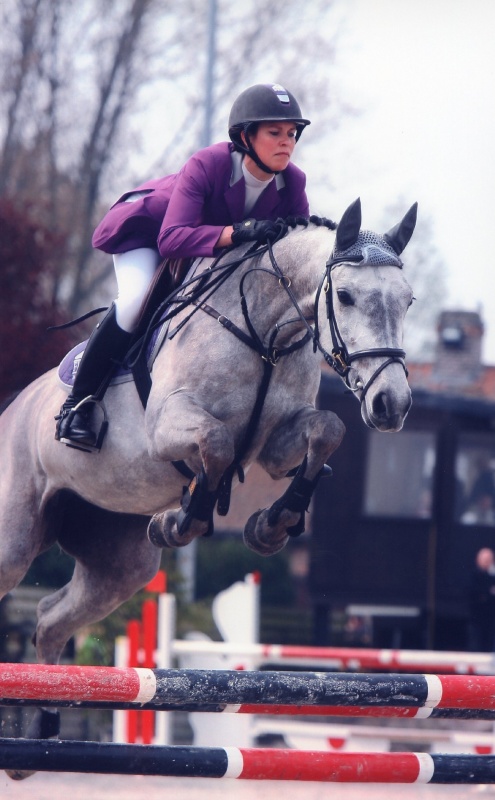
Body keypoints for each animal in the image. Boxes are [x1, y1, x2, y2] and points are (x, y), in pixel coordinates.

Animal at [0, 198, 416, 773]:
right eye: (346, 296)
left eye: (409, 300)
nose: (390, 405)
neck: (265, 335)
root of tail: (13, 406)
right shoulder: (166, 428)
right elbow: (216, 444)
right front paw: (182, 519)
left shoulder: (276, 445)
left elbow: (326, 431)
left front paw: (272, 523)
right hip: (14, 539)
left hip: (118, 565)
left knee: (51, 620)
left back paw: (39, 737)